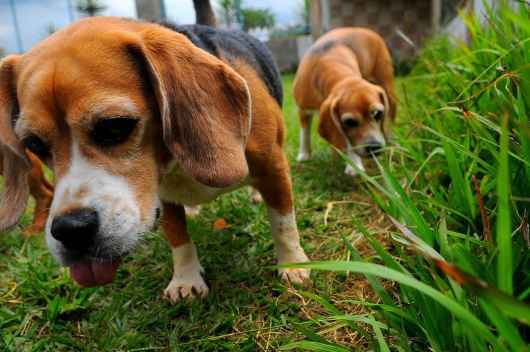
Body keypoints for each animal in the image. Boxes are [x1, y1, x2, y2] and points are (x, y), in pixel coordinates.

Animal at [0, 17, 310, 302]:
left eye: (115, 126)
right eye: (33, 144)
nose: (70, 230)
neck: (176, 162)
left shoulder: (273, 167)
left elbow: (283, 223)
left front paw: (292, 264)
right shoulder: (163, 197)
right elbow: (178, 237)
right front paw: (186, 278)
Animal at [290, 27, 394, 176]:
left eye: (377, 114)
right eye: (350, 122)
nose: (374, 147)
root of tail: (365, 29)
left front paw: (354, 165)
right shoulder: (304, 109)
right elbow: (304, 133)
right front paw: (304, 154)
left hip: (387, 85)